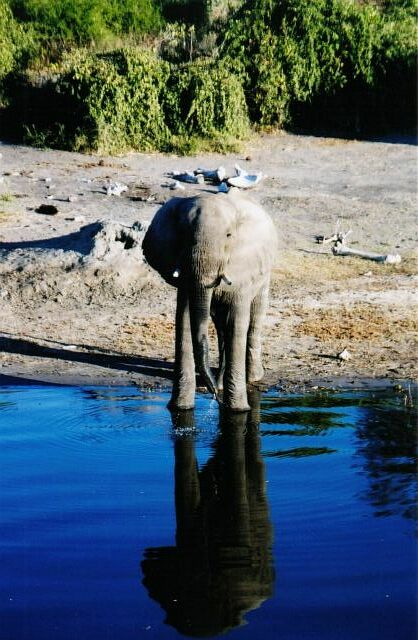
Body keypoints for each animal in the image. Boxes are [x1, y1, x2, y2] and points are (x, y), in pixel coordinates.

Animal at [142, 188, 278, 411]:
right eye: (183, 236)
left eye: (229, 236)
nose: (213, 393)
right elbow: (185, 320)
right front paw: (180, 408)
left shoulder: (244, 266)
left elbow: (237, 322)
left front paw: (238, 410)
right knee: (220, 325)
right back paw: (221, 382)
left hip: (265, 272)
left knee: (255, 314)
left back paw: (252, 378)